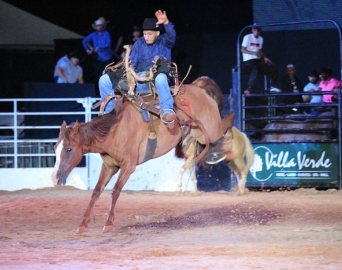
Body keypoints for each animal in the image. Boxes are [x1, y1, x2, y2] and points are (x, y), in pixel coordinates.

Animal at [50, 77, 232, 233]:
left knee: (229, 121)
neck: (114, 130)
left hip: (211, 129)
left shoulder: (128, 166)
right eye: (55, 147)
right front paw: (83, 224)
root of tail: (198, 87)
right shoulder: (109, 166)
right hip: (197, 133)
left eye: (69, 149)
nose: (55, 178)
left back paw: (221, 150)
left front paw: (109, 223)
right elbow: (96, 191)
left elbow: (115, 191)